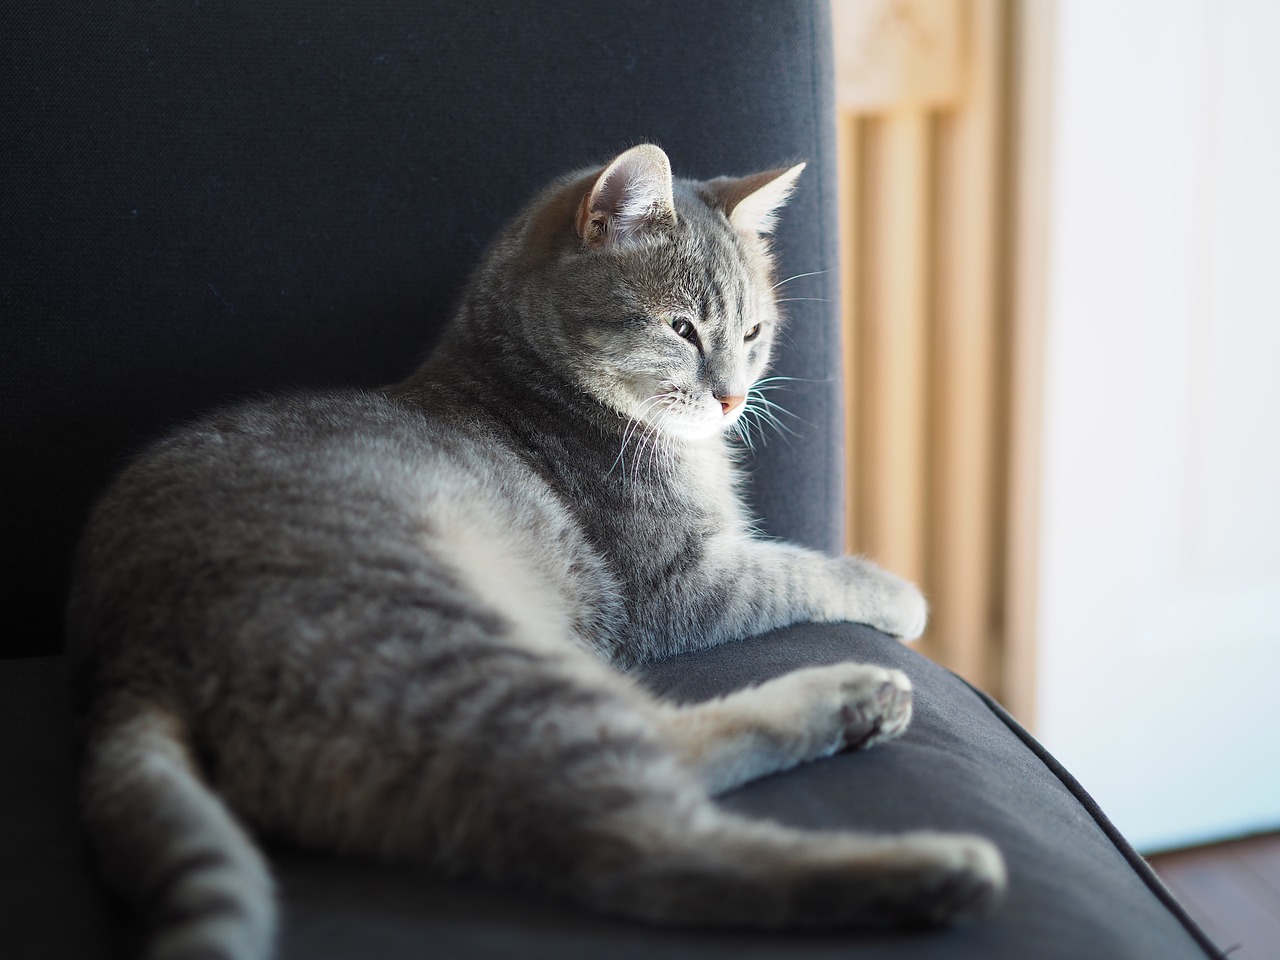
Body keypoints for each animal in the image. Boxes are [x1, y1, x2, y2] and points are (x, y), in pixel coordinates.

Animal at [70, 144, 1003, 960]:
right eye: (681, 328)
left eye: (754, 332)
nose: (733, 397)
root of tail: (127, 654)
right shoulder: (680, 586)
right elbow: (801, 568)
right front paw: (896, 591)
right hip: (465, 654)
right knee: (646, 844)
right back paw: (926, 858)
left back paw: (857, 709)